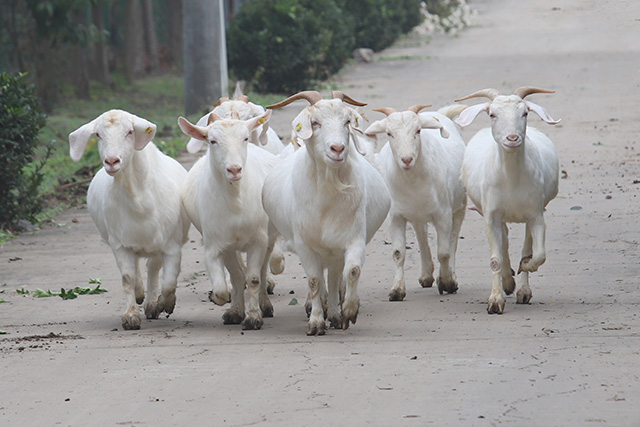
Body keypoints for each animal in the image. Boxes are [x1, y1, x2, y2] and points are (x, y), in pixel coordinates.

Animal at [70, 110, 191, 332]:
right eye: (98, 135)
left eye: (129, 132)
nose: (111, 161)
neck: (139, 199)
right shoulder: (120, 244)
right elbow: (127, 278)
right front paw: (130, 316)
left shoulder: (171, 245)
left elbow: (169, 283)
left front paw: (165, 304)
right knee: (138, 268)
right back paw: (141, 295)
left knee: (153, 268)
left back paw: (152, 304)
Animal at [178, 108, 276, 330]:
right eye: (212, 141)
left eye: (245, 138)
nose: (234, 170)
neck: (235, 199)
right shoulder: (215, 243)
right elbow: (225, 286)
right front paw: (225, 304)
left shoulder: (259, 240)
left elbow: (254, 278)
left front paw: (253, 317)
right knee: (237, 275)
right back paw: (235, 311)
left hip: (270, 237)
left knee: (262, 270)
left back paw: (265, 306)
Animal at [262, 92, 390, 336]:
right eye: (315, 123)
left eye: (347, 121)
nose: (337, 149)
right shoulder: (305, 244)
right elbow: (314, 280)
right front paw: (316, 322)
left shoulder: (352, 238)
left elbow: (352, 271)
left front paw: (347, 311)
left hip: (334, 250)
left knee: (334, 277)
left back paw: (335, 312)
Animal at [368, 105, 468, 302]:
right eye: (389, 133)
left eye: (418, 130)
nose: (407, 159)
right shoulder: (395, 217)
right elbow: (398, 254)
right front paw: (397, 290)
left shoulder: (443, 215)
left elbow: (444, 252)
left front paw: (446, 282)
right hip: (417, 215)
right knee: (422, 236)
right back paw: (426, 275)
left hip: (459, 206)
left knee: (452, 242)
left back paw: (450, 277)